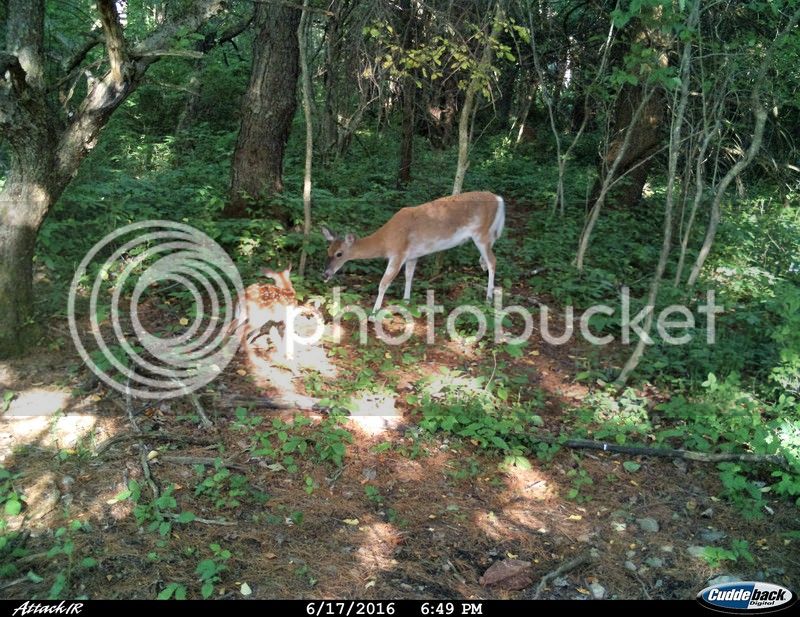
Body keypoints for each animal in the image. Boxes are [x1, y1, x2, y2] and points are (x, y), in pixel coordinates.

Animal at [320, 189, 504, 312]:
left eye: (339, 254)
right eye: (327, 250)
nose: (325, 274)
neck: (385, 240)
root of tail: (498, 198)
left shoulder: (398, 253)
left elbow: (383, 283)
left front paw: (374, 312)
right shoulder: (412, 256)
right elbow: (409, 276)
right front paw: (406, 302)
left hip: (481, 233)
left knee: (493, 261)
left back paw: (489, 299)